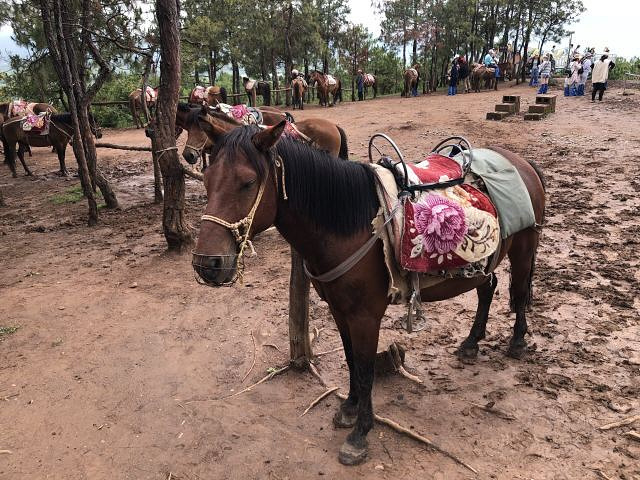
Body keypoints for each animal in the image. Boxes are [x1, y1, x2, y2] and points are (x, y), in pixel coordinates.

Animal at [190, 122, 544, 466]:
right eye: (206, 179)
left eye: (247, 182)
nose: (207, 264)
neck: (349, 227)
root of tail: (521, 162)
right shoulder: (338, 309)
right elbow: (350, 361)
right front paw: (349, 408)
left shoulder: (365, 316)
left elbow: (364, 368)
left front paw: (359, 435)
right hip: (484, 262)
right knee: (488, 289)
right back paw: (471, 342)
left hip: (524, 248)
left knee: (519, 292)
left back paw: (516, 342)